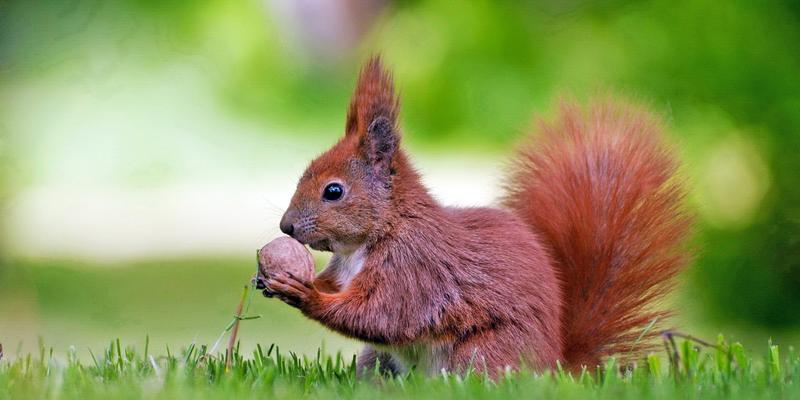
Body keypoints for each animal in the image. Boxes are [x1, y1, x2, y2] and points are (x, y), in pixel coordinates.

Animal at [264, 56, 692, 378]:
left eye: (333, 191)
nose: (286, 226)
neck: (376, 235)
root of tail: (555, 366)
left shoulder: (414, 270)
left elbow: (380, 315)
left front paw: (305, 294)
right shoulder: (346, 269)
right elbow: (339, 289)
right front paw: (277, 279)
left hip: (480, 353)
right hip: (378, 359)